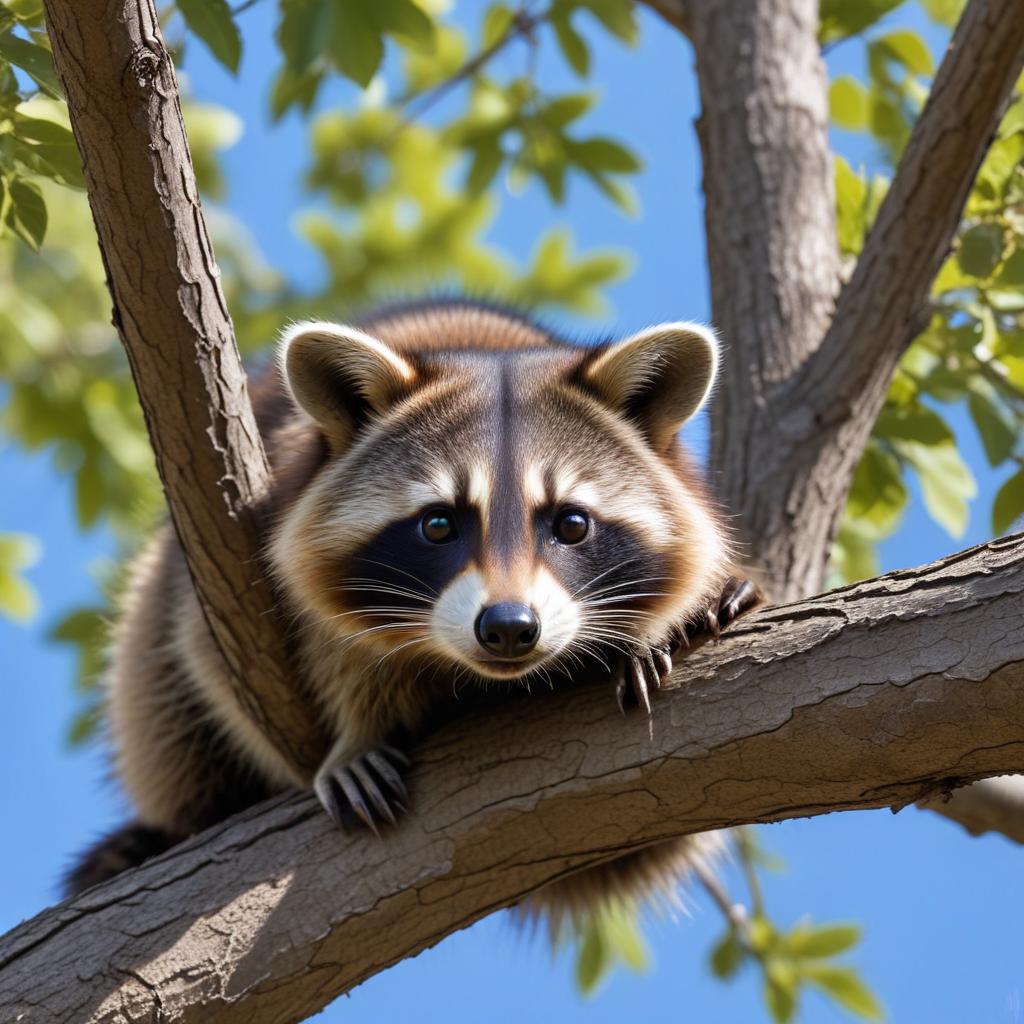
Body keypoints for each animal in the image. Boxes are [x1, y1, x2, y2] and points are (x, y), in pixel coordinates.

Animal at [67, 301, 759, 927]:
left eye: (571, 523)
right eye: (438, 524)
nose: (509, 628)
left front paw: (667, 619)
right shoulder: (234, 559)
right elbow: (224, 649)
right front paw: (358, 728)